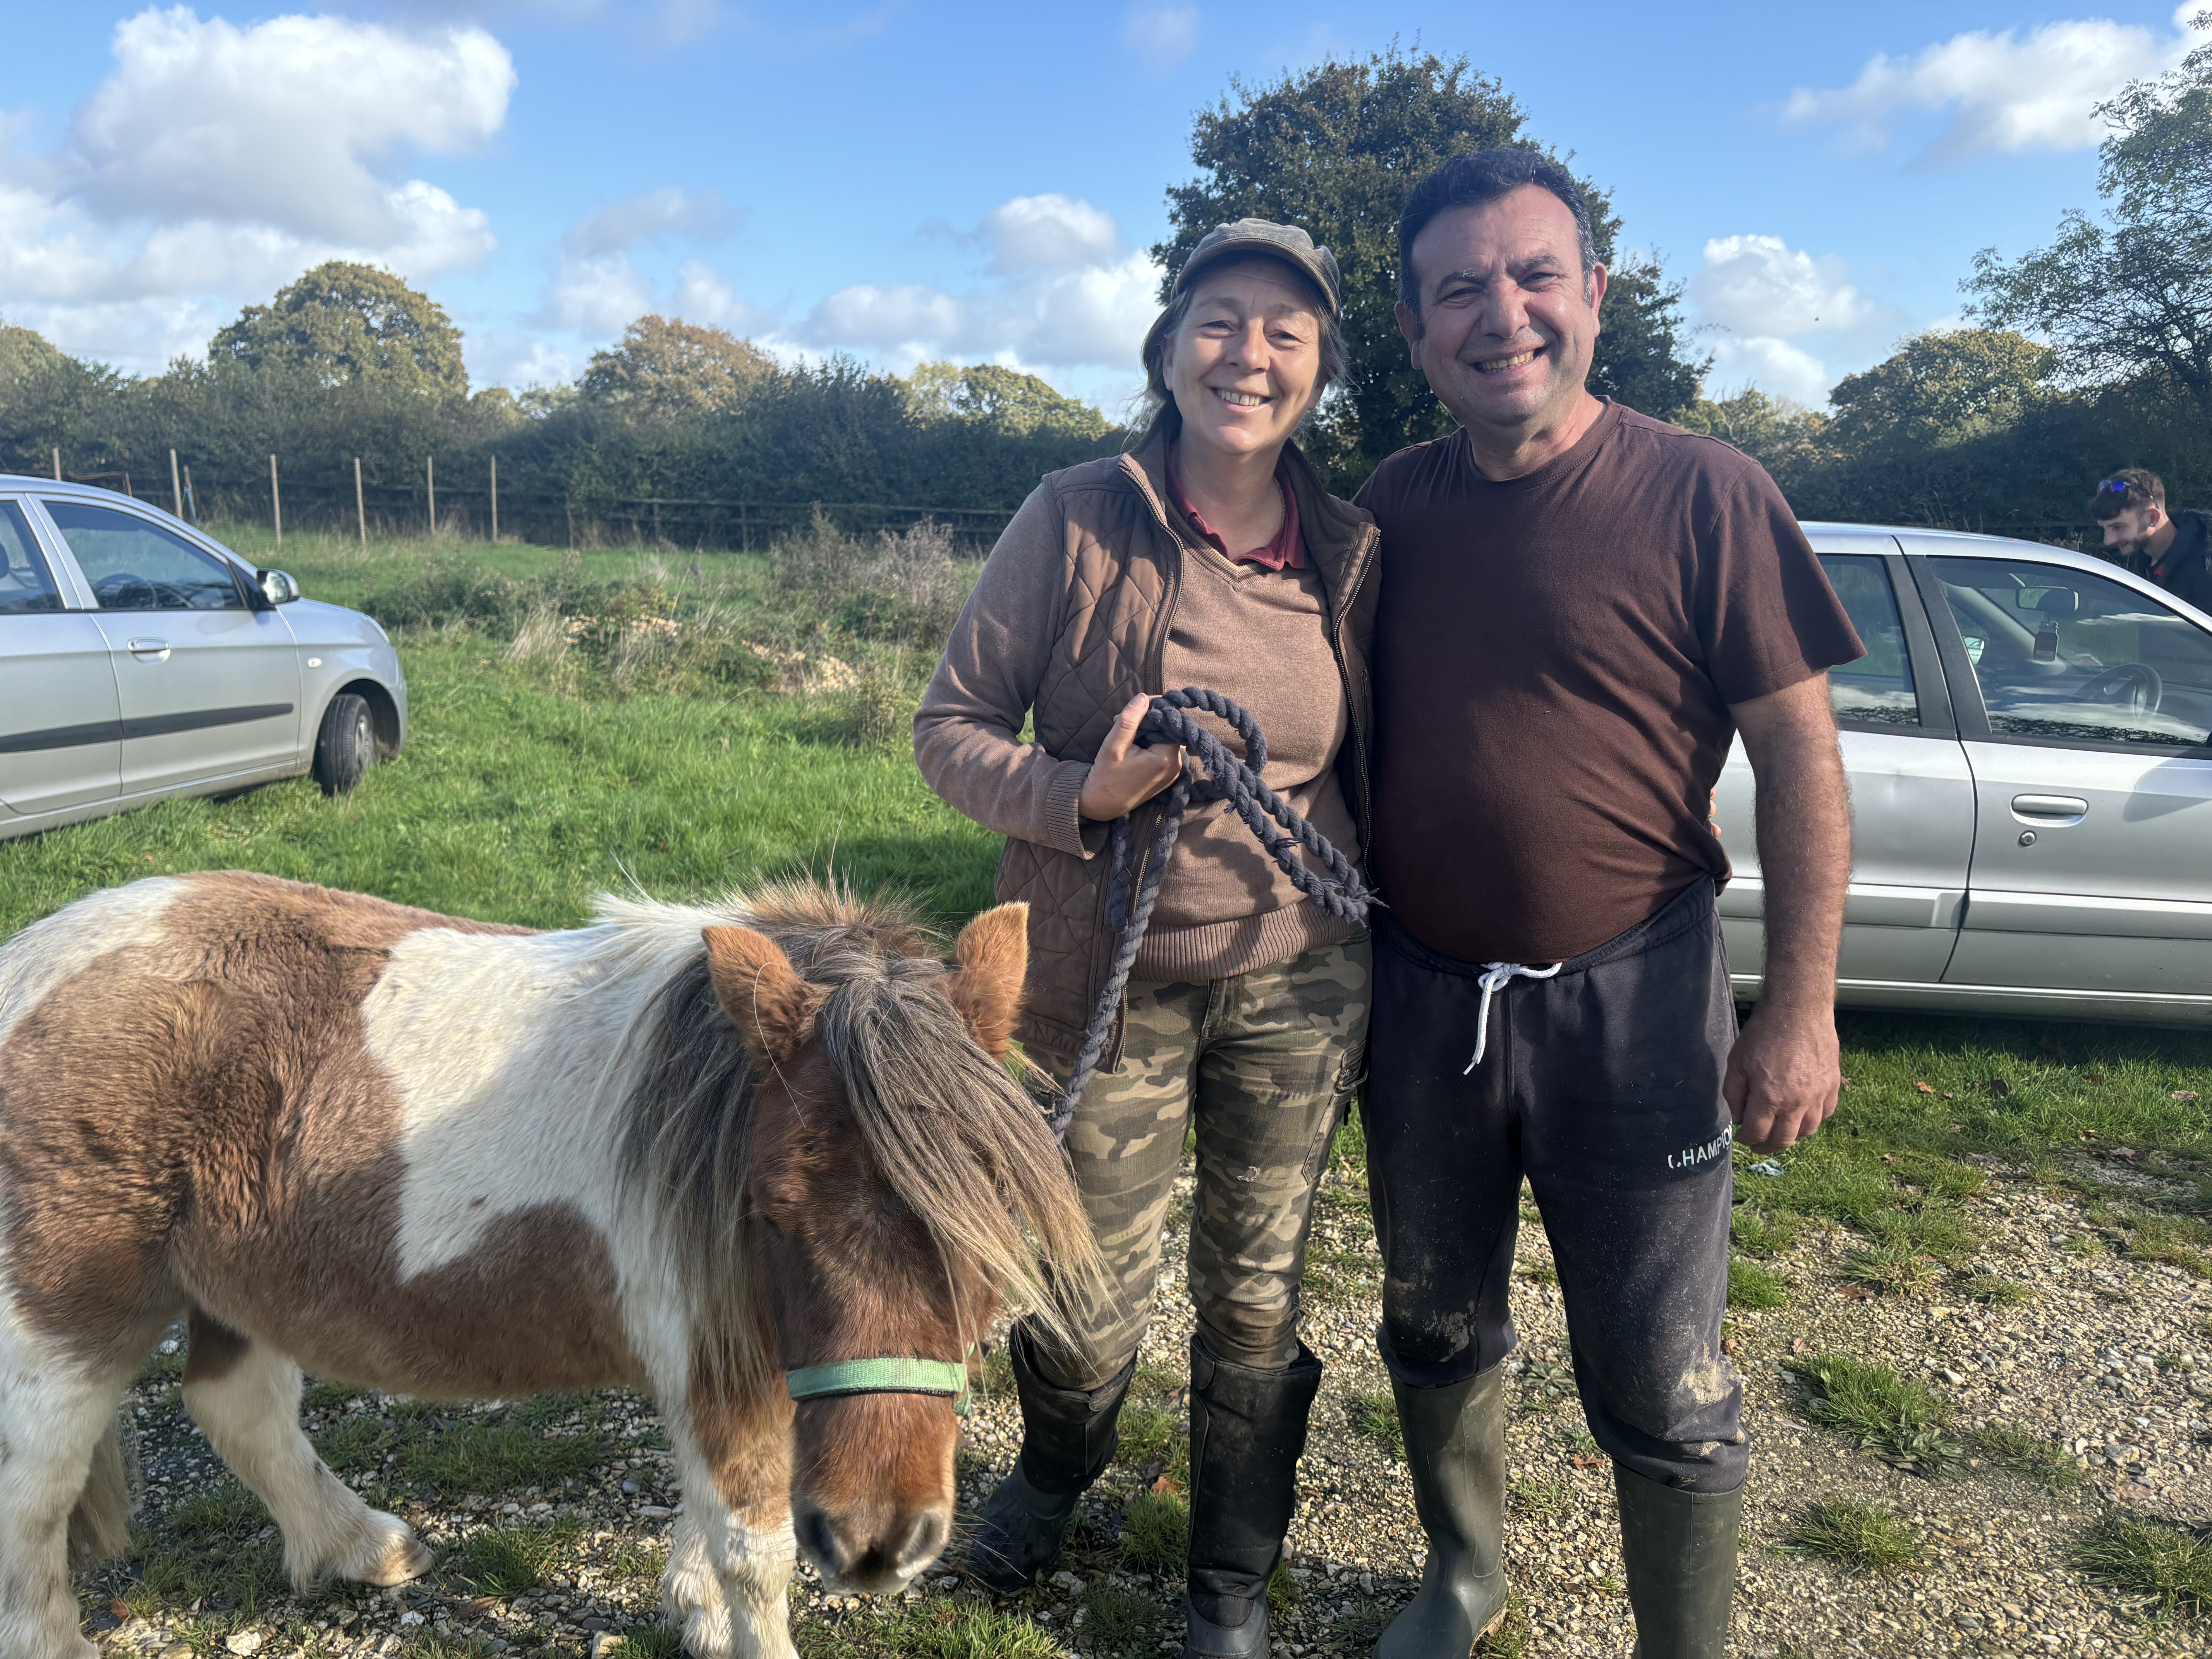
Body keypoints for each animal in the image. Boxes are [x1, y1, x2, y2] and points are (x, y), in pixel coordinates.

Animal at [0, 876, 1097, 1654]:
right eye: (775, 1208)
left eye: (991, 1211)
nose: (878, 1544)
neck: (702, 1114)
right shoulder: (714, 1360)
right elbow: (755, 1549)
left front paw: (694, 1607)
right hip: (62, 1323)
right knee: (34, 1498)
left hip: (238, 1284)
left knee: (240, 1407)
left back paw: (365, 1548)